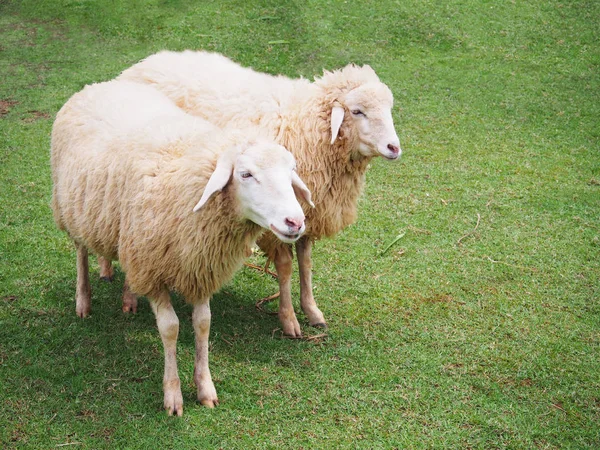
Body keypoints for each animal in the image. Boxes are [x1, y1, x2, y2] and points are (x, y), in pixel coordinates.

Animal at [50, 81, 314, 414]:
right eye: (246, 174)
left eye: (291, 171)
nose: (296, 221)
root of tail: (100, 84)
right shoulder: (154, 268)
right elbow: (170, 328)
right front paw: (173, 395)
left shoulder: (198, 265)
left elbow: (203, 324)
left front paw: (205, 387)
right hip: (72, 209)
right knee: (81, 253)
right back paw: (83, 301)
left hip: (130, 234)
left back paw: (129, 297)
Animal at [116, 51, 404, 336]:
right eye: (357, 111)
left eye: (388, 109)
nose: (394, 147)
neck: (306, 125)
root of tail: (147, 61)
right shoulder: (275, 223)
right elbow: (286, 267)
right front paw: (289, 319)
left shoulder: (306, 214)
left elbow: (306, 262)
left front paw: (312, 310)